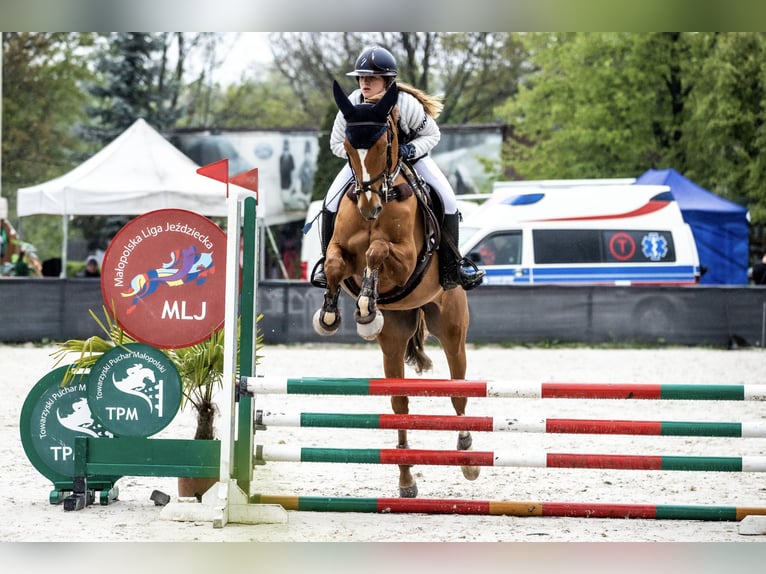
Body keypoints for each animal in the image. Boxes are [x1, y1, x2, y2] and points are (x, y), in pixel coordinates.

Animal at [312, 81, 480, 500]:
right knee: (399, 402)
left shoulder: (405, 260)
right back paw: (406, 480)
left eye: (385, 143)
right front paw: (334, 314)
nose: (369, 206)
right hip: (394, 335)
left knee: (459, 390)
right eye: (349, 146)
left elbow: (378, 251)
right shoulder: (341, 250)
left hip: (451, 327)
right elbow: (337, 264)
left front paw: (366, 302)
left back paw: (468, 457)